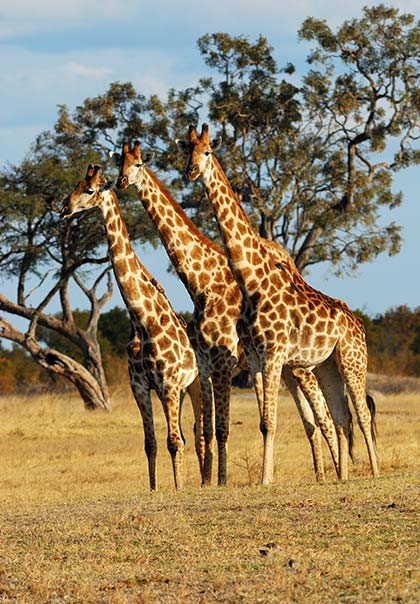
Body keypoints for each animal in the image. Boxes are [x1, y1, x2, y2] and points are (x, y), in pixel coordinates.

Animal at [60, 164, 204, 490]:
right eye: (74, 185)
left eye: (89, 190)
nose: (64, 209)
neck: (142, 321)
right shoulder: (140, 386)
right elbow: (151, 443)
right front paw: (154, 488)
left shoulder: (169, 384)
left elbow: (174, 442)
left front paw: (178, 488)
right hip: (179, 391)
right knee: (188, 434)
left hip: (198, 385)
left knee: (200, 435)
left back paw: (206, 481)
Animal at [112, 139, 344, 484]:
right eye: (119, 164)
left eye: (138, 164)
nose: (121, 182)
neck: (204, 278)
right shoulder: (207, 366)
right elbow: (206, 429)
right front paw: (207, 482)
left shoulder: (223, 364)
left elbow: (218, 429)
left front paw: (219, 481)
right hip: (286, 367)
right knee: (310, 420)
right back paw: (321, 475)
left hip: (299, 365)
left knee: (323, 414)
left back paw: (334, 473)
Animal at [176, 124, 378, 486]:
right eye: (188, 150)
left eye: (208, 151)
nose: (192, 171)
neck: (252, 283)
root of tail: (358, 324)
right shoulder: (257, 359)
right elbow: (263, 422)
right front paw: (265, 477)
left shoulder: (273, 353)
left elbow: (271, 421)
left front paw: (264, 479)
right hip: (327, 365)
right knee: (342, 416)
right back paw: (345, 475)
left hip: (352, 361)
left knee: (362, 413)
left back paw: (375, 471)